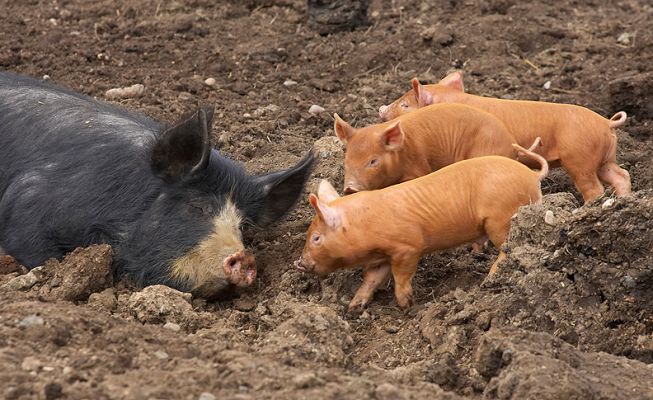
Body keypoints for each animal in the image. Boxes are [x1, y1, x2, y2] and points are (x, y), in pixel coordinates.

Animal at [295, 141, 547, 311]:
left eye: (316, 238)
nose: (300, 263)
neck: (365, 224)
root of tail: (532, 175)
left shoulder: (407, 248)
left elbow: (401, 275)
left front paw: (406, 305)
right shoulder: (382, 257)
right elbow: (371, 279)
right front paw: (354, 307)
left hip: (501, 219)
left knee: (507, 249)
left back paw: (488, 281)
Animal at [377, 71, 630, 203]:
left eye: (405, 104)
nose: (381, 109)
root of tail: (606, 122)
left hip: (579, 158)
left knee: (594, 188)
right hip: (604, 159)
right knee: (621, 175)